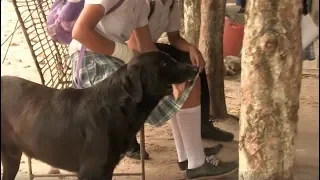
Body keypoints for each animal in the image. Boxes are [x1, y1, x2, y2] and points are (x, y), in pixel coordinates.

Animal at [1, 51, 198, 180]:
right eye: (164, 64)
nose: (196, 68)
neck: (114, 108)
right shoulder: (91, 171)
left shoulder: (106, 170)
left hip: (12, 157)